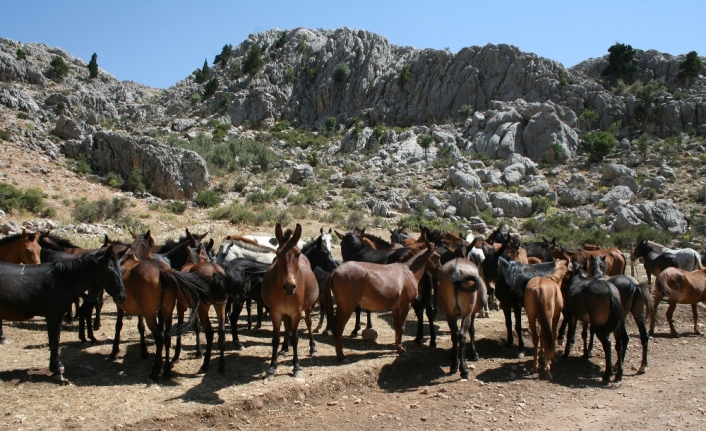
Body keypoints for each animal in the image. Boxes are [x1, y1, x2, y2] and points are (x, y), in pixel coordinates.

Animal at [0, 248, 125, 384]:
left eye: (121, 270)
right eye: (109, 271)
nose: (122, 297)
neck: (62, 281)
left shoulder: (57, 316)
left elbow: (55, 340)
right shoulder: (53, 316)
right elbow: (54, 341)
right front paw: (57, 370)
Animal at [260, 224, 318, 380]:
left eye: (297, 254)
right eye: (278, 254)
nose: (289, 286)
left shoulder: (296, 313)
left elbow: (296, 338)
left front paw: (296, 366)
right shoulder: (275, 312)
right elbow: (275, 338)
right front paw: (272, 367)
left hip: (307, 308)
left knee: (309, 323)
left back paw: (312, 347)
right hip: (286, 313)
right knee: (286, 327)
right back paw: (284, 349)